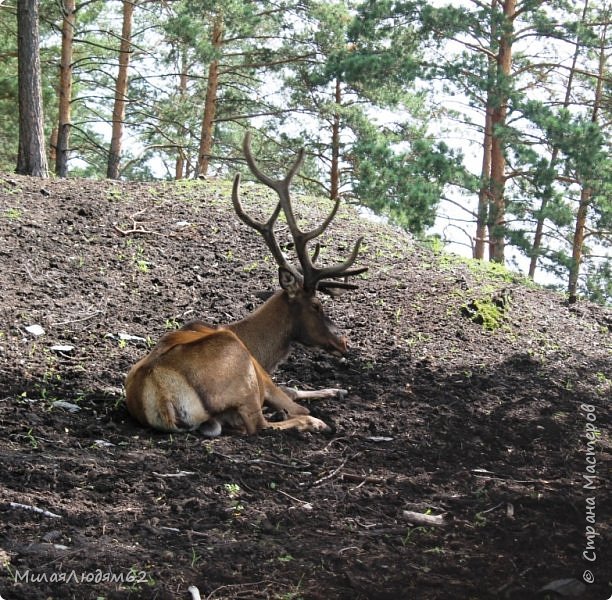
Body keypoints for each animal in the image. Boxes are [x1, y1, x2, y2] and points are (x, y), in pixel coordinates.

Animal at [123, 134, 364, 436]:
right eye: (317, 305)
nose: (344, 342)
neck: (261, 350)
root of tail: (160, 392)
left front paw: (339, 390)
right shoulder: (264, 378)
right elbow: (293, 397)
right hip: (242, 374)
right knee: (260, 424)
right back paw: (313, 422)